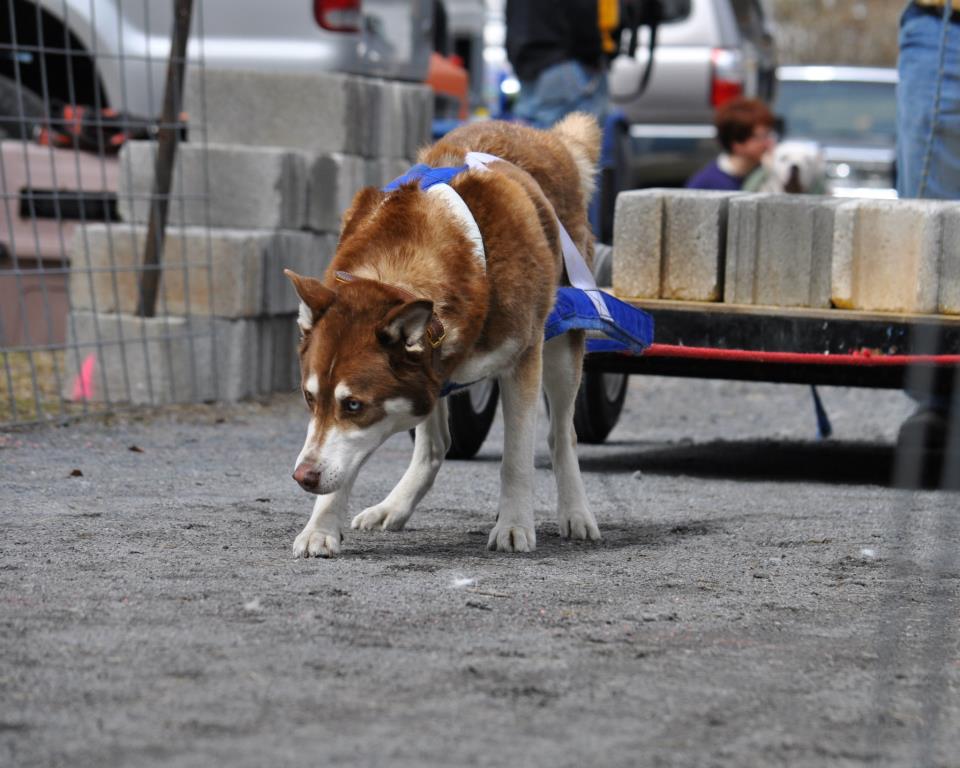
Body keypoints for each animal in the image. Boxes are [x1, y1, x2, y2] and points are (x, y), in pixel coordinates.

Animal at [282, 114, 604, 560]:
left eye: (354, 404)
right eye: (310, 398)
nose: (303, 477)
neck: (402, 270)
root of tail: (541, 135)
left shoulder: (523, 360)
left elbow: (516, 457)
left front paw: (514, 524)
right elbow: (340, 461)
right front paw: (321, 526)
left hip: (561, 344)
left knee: (562, 435)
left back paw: (575, 512)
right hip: (436, 378)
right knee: (437, 446)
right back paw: (394, 506)